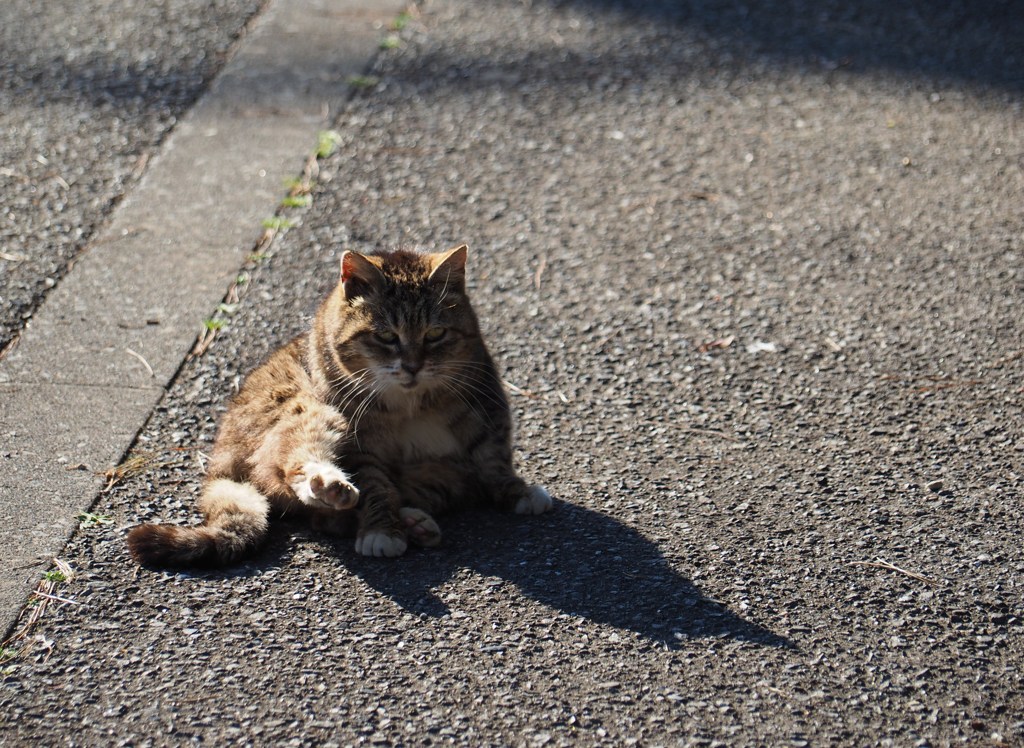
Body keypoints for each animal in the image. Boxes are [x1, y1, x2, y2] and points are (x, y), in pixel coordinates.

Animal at [126, 244, 552, 565]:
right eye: (386, 336)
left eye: (435, 334)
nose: (413, 366)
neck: (411, 400)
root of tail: (220, 454)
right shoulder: (360, 439)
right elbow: (375, 486)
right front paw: (381, 530)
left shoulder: (485, 403)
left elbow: (493, 459)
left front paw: (516, 490)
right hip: (309, 409)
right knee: (297, 477)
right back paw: (330, 486)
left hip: (441, 479)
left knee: (332, 515)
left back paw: (413, 521)